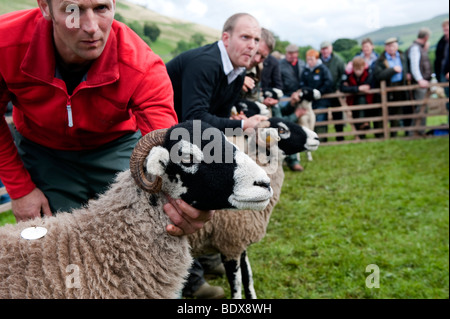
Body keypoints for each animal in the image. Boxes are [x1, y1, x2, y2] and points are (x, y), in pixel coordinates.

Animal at [187, 117, 320, 300]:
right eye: (281, 129)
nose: (316, 138)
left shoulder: (241, 241)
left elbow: (248, 277)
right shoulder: (230, 244)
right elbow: (236, 284)